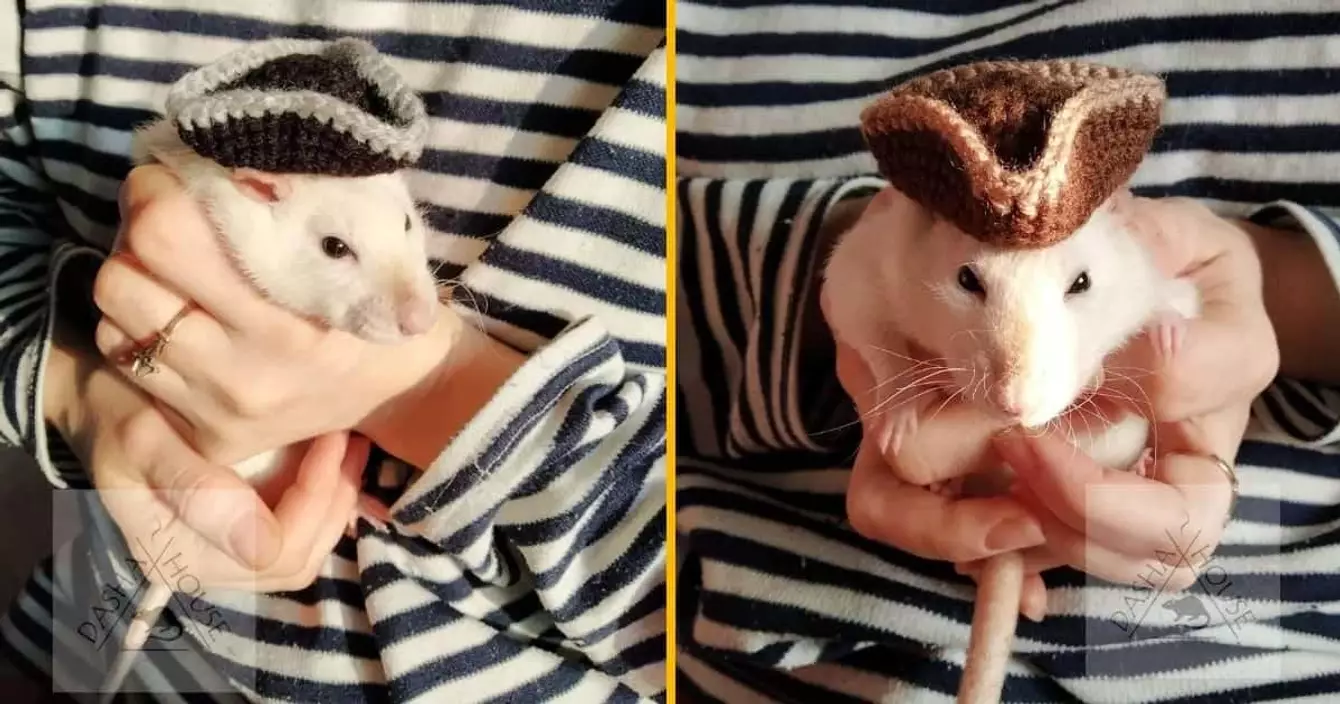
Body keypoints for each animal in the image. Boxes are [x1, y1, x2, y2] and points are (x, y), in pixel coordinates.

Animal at [822, 186, 1201, 704]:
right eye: (967, 279)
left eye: (1081, 282)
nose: (1014, 405)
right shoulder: (875, 257)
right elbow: (856, 314)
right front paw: (902, 406)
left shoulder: (1139, 273)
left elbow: (1173, 297)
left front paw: (1168, 331)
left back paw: (1140, 464)